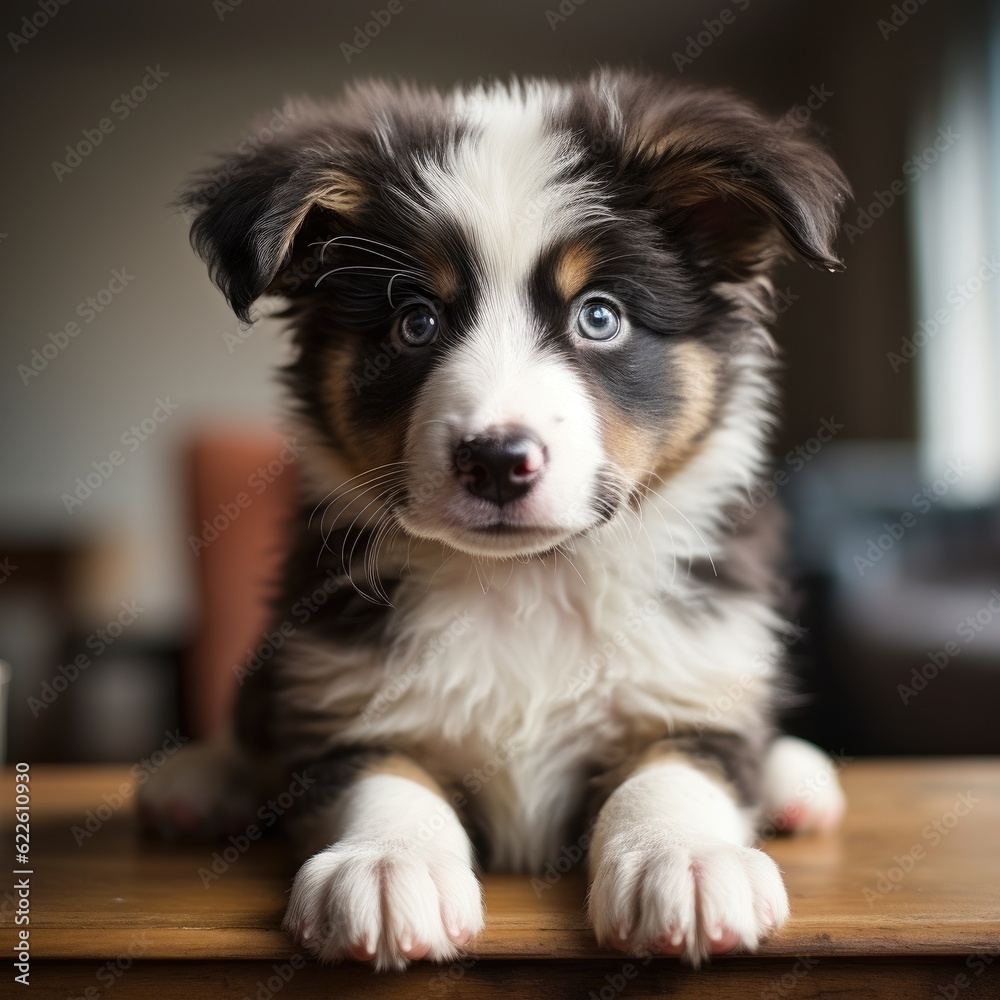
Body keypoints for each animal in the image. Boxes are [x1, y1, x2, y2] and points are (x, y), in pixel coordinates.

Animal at [146, 74, 852, 972]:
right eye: (415, 321)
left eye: (599, 316)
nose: (495, 460)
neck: (528, 582)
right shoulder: (341, 694)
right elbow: (381, 777)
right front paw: (388, 865)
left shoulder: (695, 671)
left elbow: (677, 766)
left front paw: (684, 860)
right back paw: (198, 783)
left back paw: (797, 779)